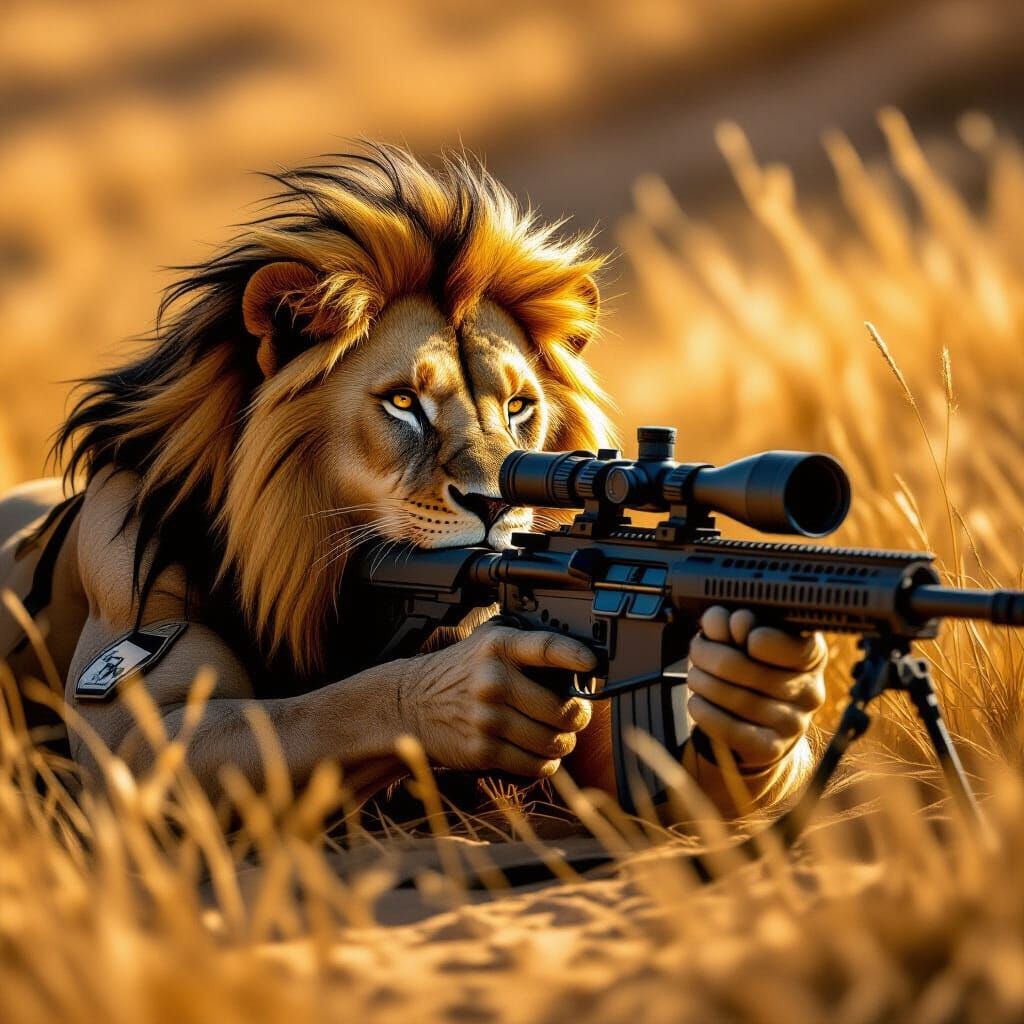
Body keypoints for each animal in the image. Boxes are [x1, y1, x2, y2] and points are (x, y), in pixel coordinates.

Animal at [0, 144, 825, 818]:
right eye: (403, 402)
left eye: (520, 407)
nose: (495, 505)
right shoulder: (120, 552)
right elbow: (149, 742)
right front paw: (454, 699)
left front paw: (761, 693)